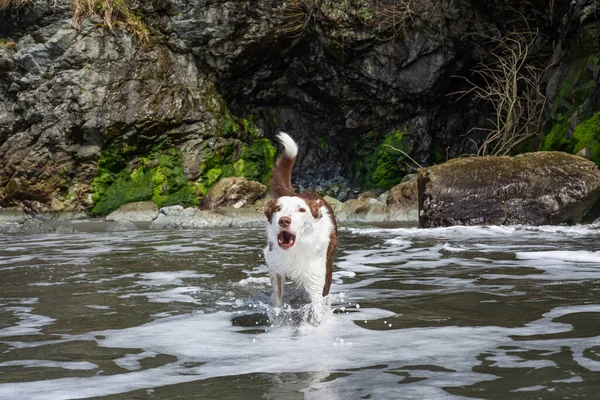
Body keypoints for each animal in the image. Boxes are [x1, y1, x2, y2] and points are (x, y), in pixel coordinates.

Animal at [264, 131, 338, 306]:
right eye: (277, 209)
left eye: (302, 210)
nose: (284, 220)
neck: (295, 250)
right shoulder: (274, 264)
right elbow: (277, 300)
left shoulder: (317, 277)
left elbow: (317, 306)